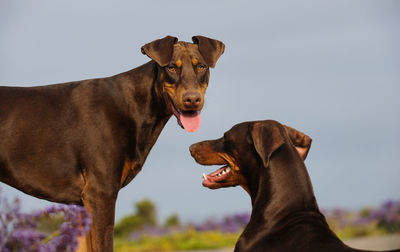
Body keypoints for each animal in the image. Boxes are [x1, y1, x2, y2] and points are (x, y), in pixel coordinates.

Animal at [0, 35, 225, 250]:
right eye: (171, 67)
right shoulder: (101, 193)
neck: (135, 104)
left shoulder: (83, 204)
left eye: (201, 66)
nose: (192, 100)